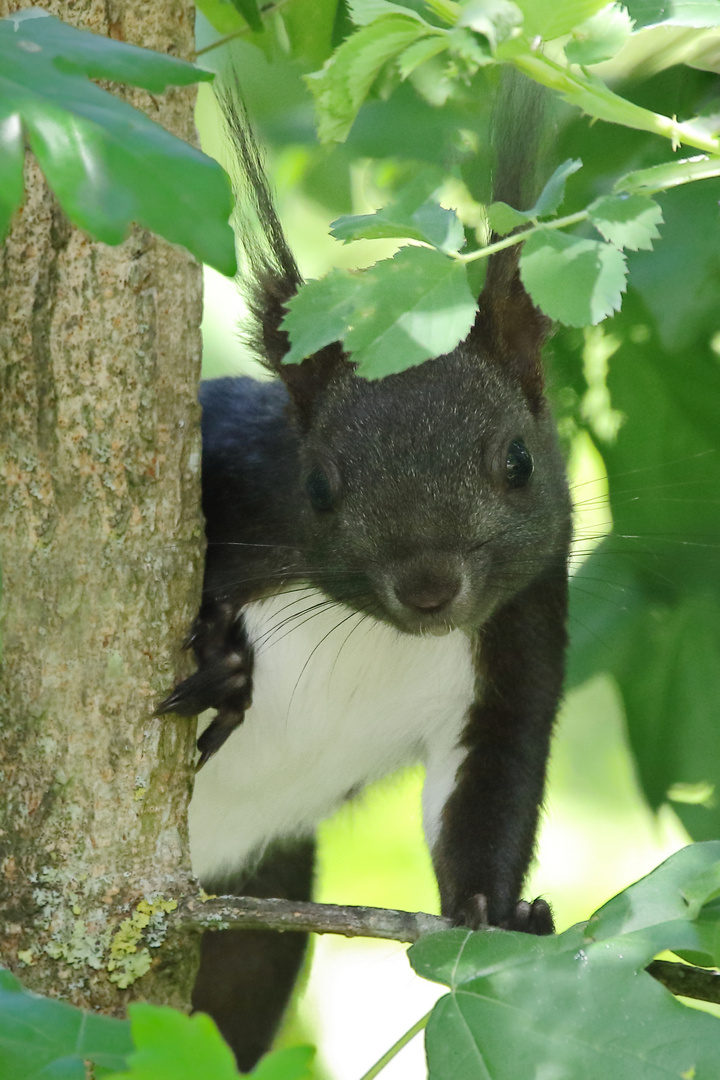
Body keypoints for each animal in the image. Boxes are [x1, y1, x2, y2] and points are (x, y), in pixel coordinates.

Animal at [160, 69, 569, 1071]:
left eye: (518, 461)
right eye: (317, 485)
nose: (428, 589)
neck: (374, 630)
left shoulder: (522, 633)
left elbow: (493, 783)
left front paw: (498, 916)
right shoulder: (230, 469)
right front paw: (219, 661)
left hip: (260, 911)